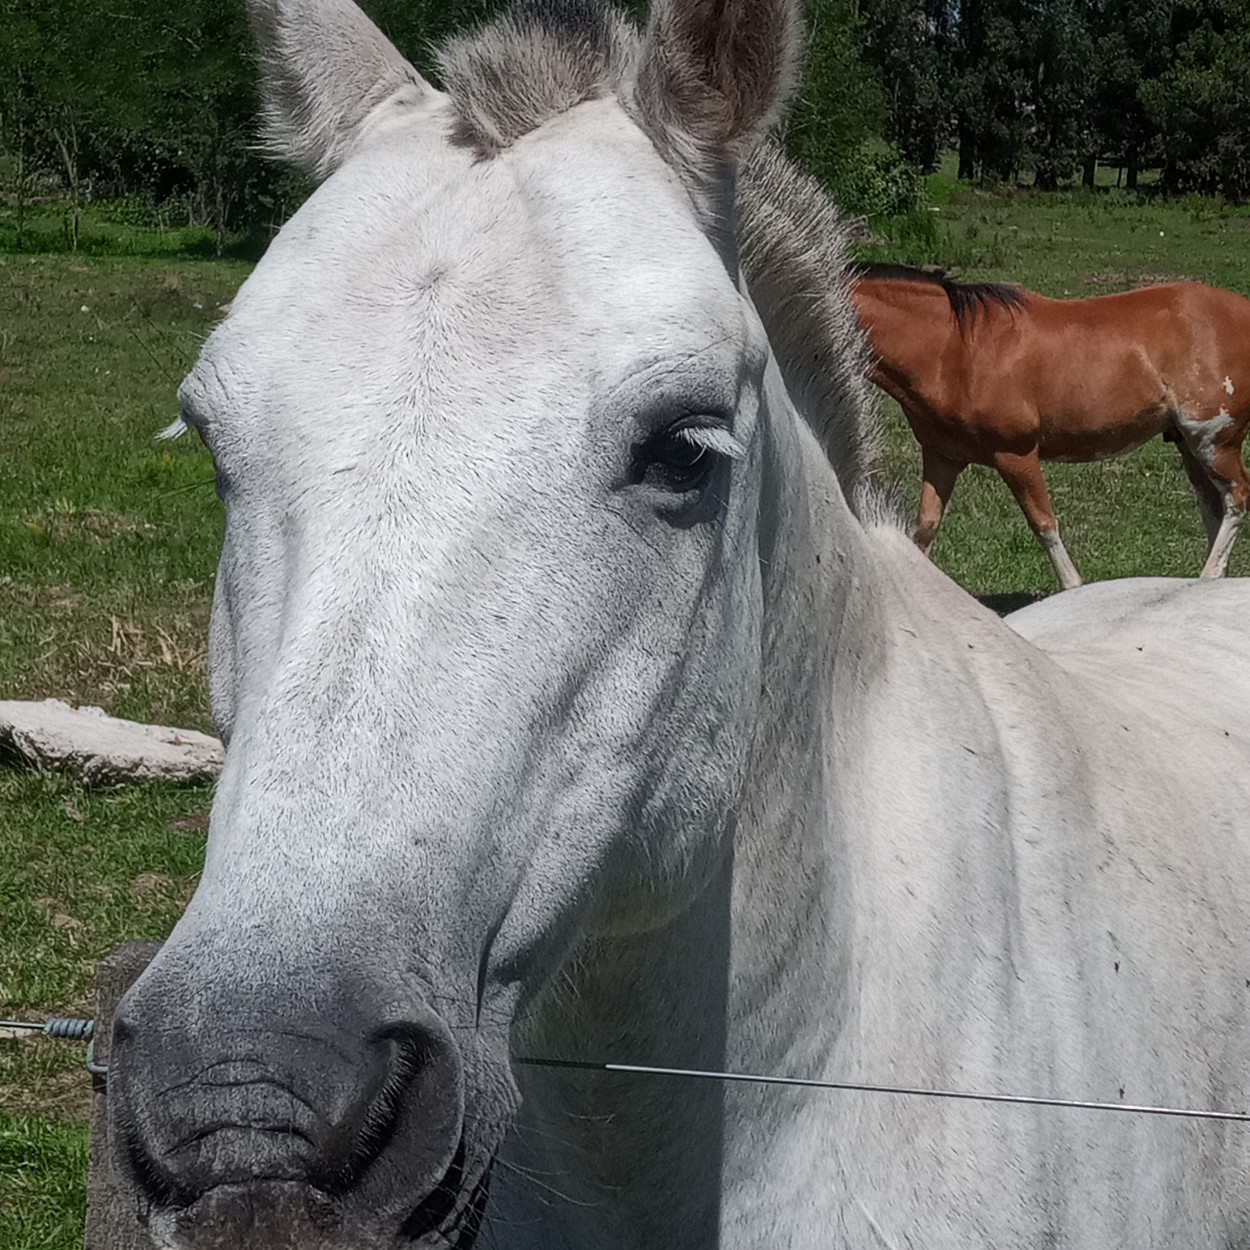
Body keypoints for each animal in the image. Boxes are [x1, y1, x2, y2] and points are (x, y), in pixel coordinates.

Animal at [855, 263, 1250, 585]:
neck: (954, 349)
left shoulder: (1015, 455)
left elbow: (1044, 525)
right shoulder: (942, 457)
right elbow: (924, 530)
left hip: (1215, 442)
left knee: (1237, 497)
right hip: (1189, 444)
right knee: (1213, 506)